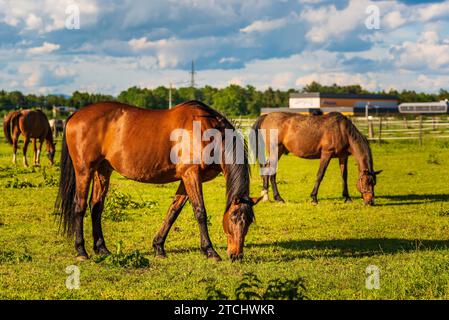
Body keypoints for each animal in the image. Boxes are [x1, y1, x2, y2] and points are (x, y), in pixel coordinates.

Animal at [54, 100, 260, 262]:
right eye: (233, 218)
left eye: (249, 222)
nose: (236, 255)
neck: (206, 131)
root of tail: (75, 115)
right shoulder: (191, 175)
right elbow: (200, 212)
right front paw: (210, 251)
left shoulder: (186, 179)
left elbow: (173, 211)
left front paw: (159, 247)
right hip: (84, 171)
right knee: (80, 206)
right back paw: (81, 251)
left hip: (103, 170)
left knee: (96, 206)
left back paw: (102, 249)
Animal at [252, 112, 382, 205]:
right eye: (366, 182)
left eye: (374, 183)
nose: (370, 202)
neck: (342, 130)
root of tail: (266, 116)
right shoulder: (326, 154)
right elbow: (320, 174)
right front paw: (314, 198)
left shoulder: (343, 156)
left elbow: (344, 176)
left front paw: (347, 197)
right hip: (276, 150)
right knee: (271, 171)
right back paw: (278, 198)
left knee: (266, 168)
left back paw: (265, 196)